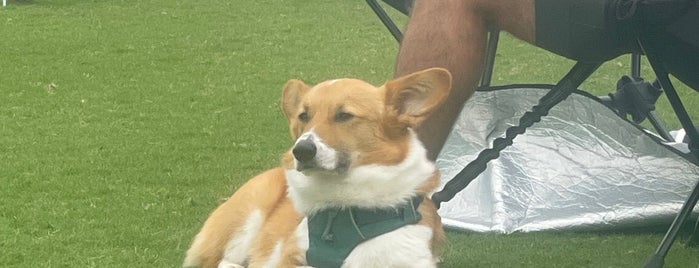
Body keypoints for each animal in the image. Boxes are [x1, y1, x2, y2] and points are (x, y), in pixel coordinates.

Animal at [183, 68, 452, 266]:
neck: (343, 207)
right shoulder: (294, 256)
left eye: (344, 115)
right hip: (247, 218)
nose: (300, 150)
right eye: (304, 116)